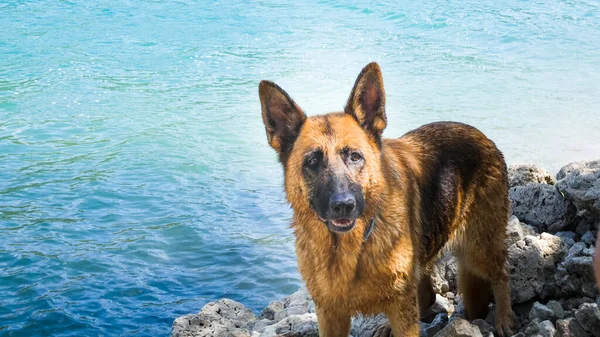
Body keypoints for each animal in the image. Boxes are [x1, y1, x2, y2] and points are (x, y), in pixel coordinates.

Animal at [256, 63, 510, 336]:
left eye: (355, 157)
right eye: (312, 161)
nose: (343, 205)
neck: (352, 248)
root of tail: (480, 135)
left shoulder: (401, 305)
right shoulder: (330, 313)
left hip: (480, 248)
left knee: (502, 274)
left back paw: (505, 318)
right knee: (427, 297)